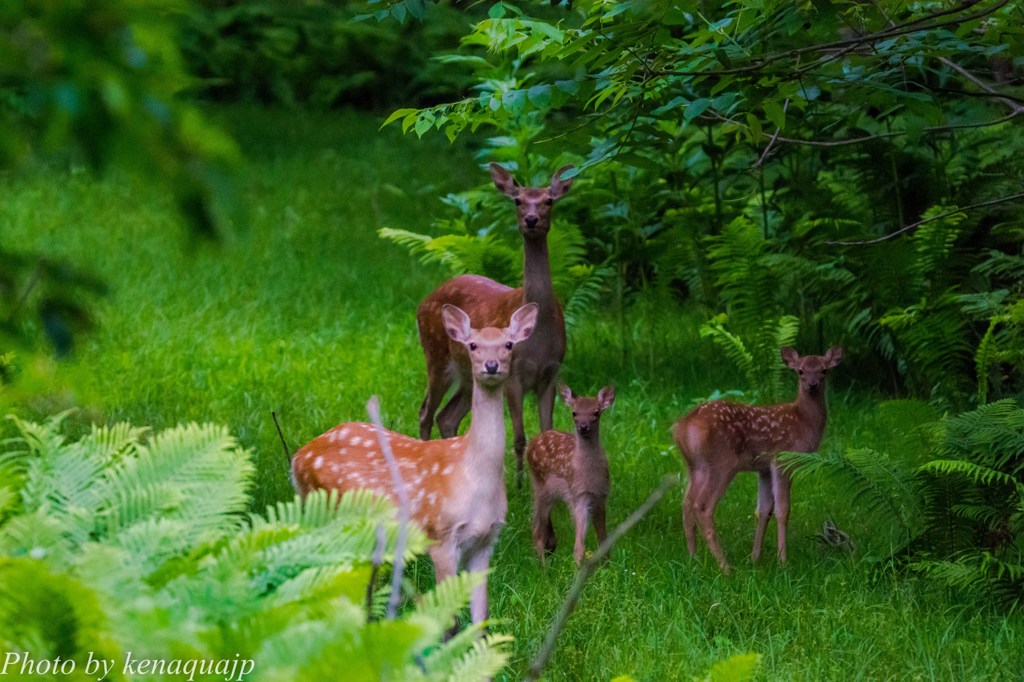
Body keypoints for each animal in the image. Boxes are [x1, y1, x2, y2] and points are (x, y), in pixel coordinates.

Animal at [292, 303, 540, 626]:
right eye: (472, 345)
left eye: (508, 344)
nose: (491, 365)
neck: (474, 477)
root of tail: (298, 458)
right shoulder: (440, 536)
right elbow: (450, 621)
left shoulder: (486, 542)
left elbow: (481, 620)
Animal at [417, 159, 577, 481]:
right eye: (517, 200)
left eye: (549, 200)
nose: (531, 219)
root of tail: (424, 301)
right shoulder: (514, 375)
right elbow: (520, 438)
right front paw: (519, 483)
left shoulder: (551, 372)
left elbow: (547, 431)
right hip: (436, 355)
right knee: (426, 411)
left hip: (469, 375)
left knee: (447, 416)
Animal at [528, 382, 614, 561]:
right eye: (574, 412)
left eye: (596, 412)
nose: (583, 427)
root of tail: (531, 443)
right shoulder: (577, 495)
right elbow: (578, 546)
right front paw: (579, 566)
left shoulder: (600, 496)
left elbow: (604, 539)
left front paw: (609, 564)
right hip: (540, 486)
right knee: (537, 530)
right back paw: (543, 566)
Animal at [671, 342, 839, 569]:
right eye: (800, 371)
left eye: (824, 370)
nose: (813, 385)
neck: (803, 421)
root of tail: (683, 426)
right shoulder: (782, 459)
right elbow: (783, 509)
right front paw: (782, 561)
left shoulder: (764, 467)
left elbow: (764, 509)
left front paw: (755, 558)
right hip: (722, 462)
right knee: (702, 506)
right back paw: (725, 567)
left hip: (695, 467)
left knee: (686, 503)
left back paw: (693, 560)